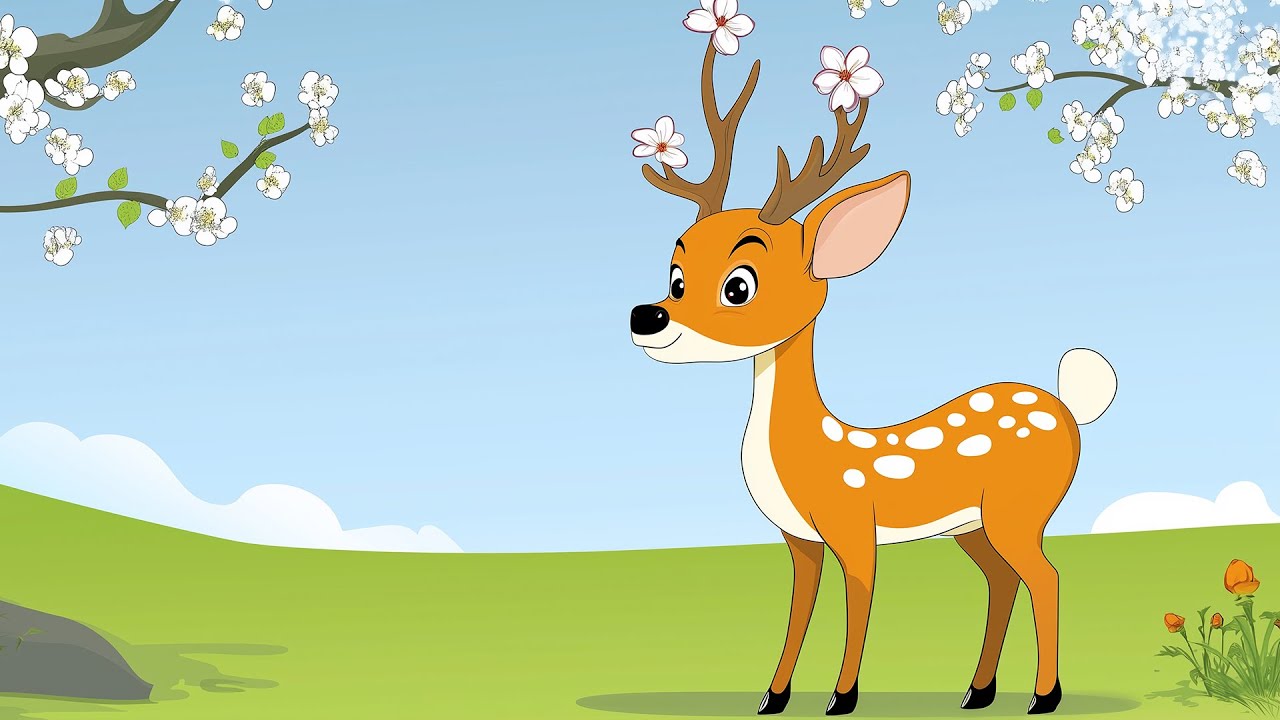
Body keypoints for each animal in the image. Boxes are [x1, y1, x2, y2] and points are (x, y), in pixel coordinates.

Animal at [627, 34, 1117, 718]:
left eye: (739, 286)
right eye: (675, 274)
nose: (646, 317)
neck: (811, 453)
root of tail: (1071, 407)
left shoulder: (854, 523)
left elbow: (858, 599)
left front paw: (842, 697)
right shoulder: (798, 538)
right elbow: (798, 608)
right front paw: (773, 697)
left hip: (1021, 509)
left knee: (1045, 576)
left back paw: (1042, 698)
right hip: (973, 526)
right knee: (1002, 579)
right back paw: (977, 691)